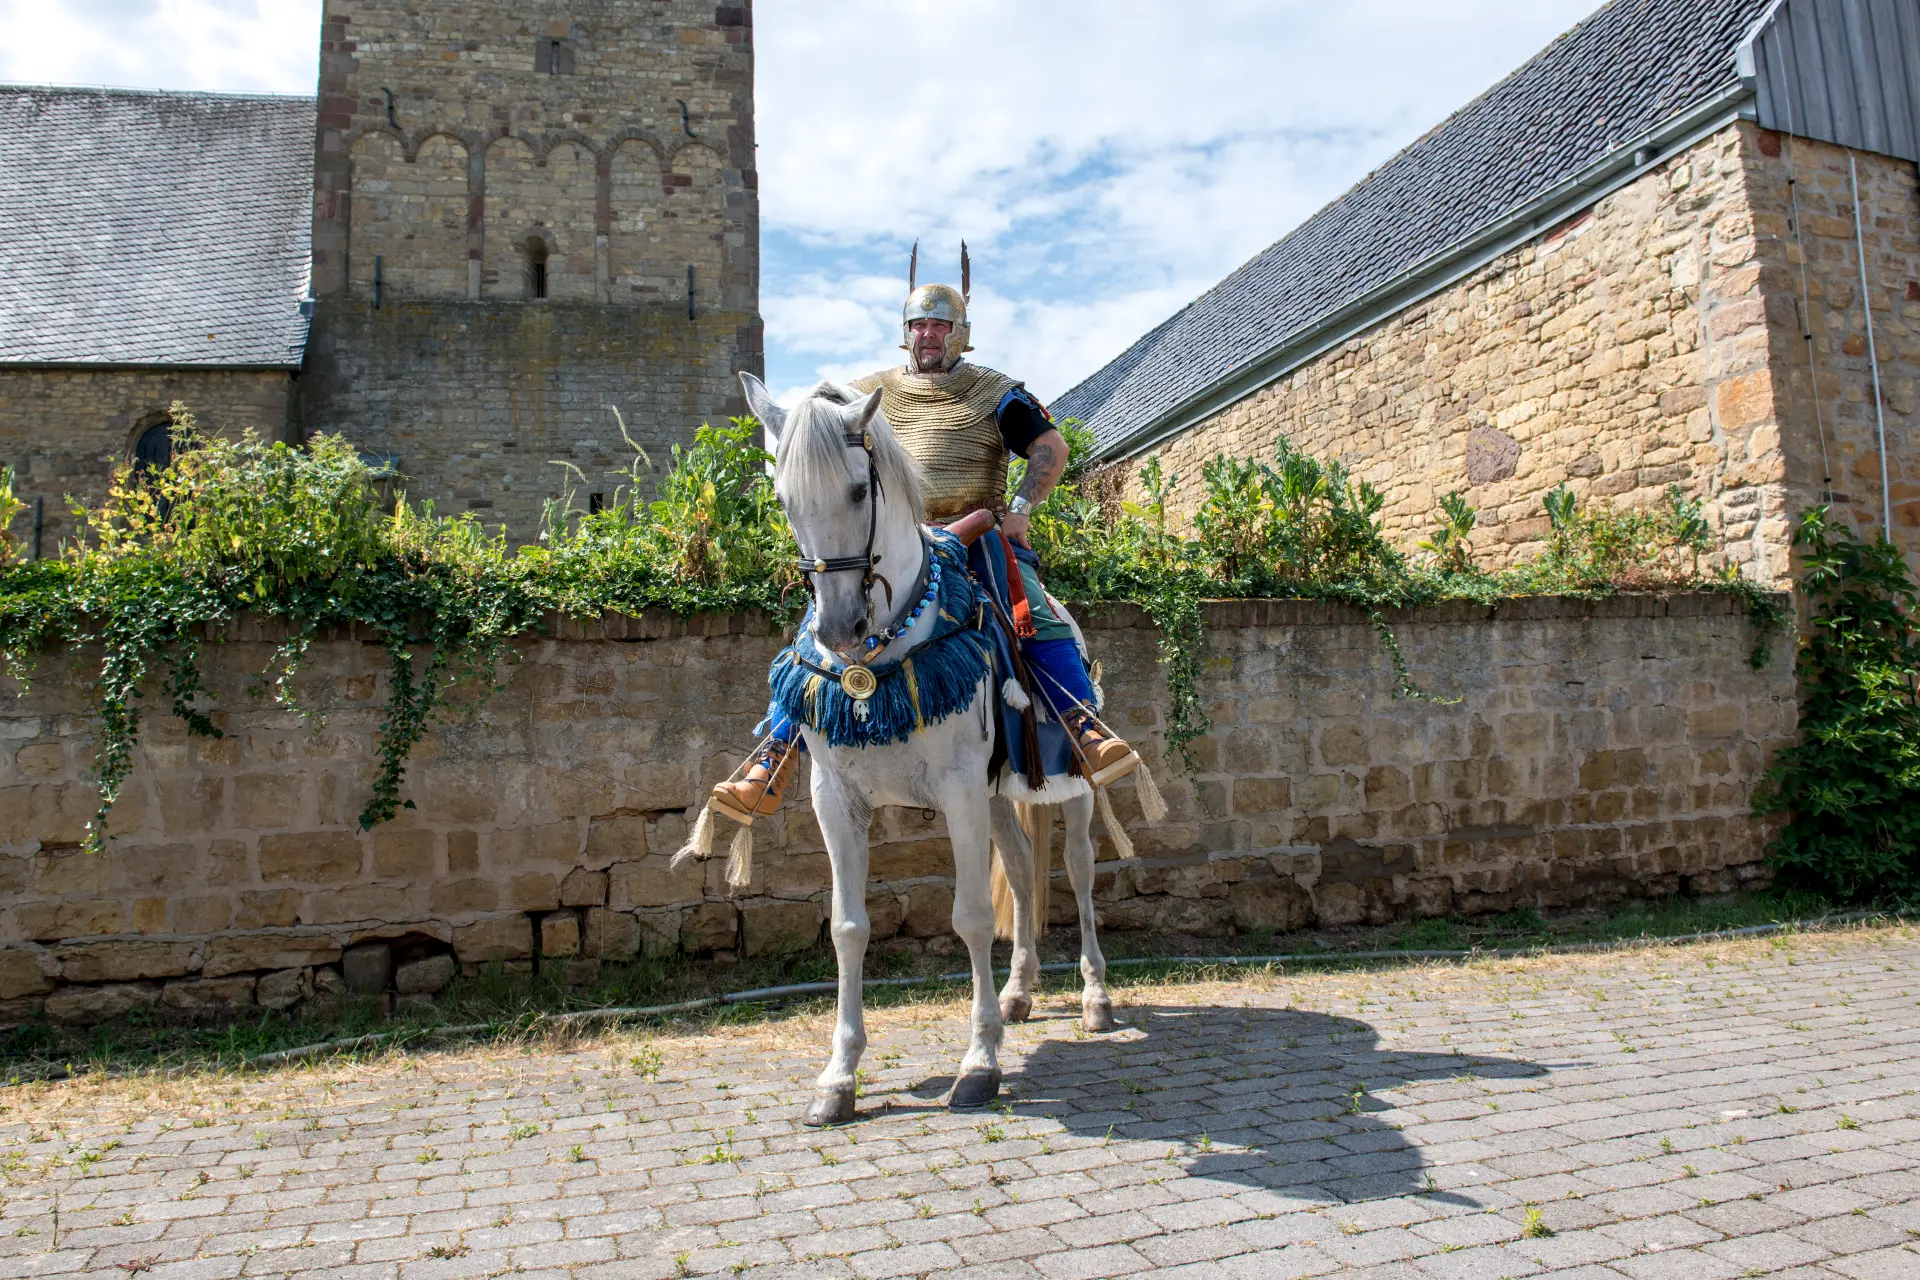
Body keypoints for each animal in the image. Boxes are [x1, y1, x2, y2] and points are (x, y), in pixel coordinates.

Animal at [735, 372, 1115, 1127]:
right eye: (785, 499)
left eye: (860, 490)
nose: (839, 626)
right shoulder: (837, 799)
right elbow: (849, 927)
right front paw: (839, 1076)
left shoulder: (958, 788)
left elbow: (969, 918)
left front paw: (979, 1063)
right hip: (1000, 796)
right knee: (1022, 873)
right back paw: (1018, 993)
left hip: (1071, 785)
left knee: (1079, 873)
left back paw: (1093, 997)